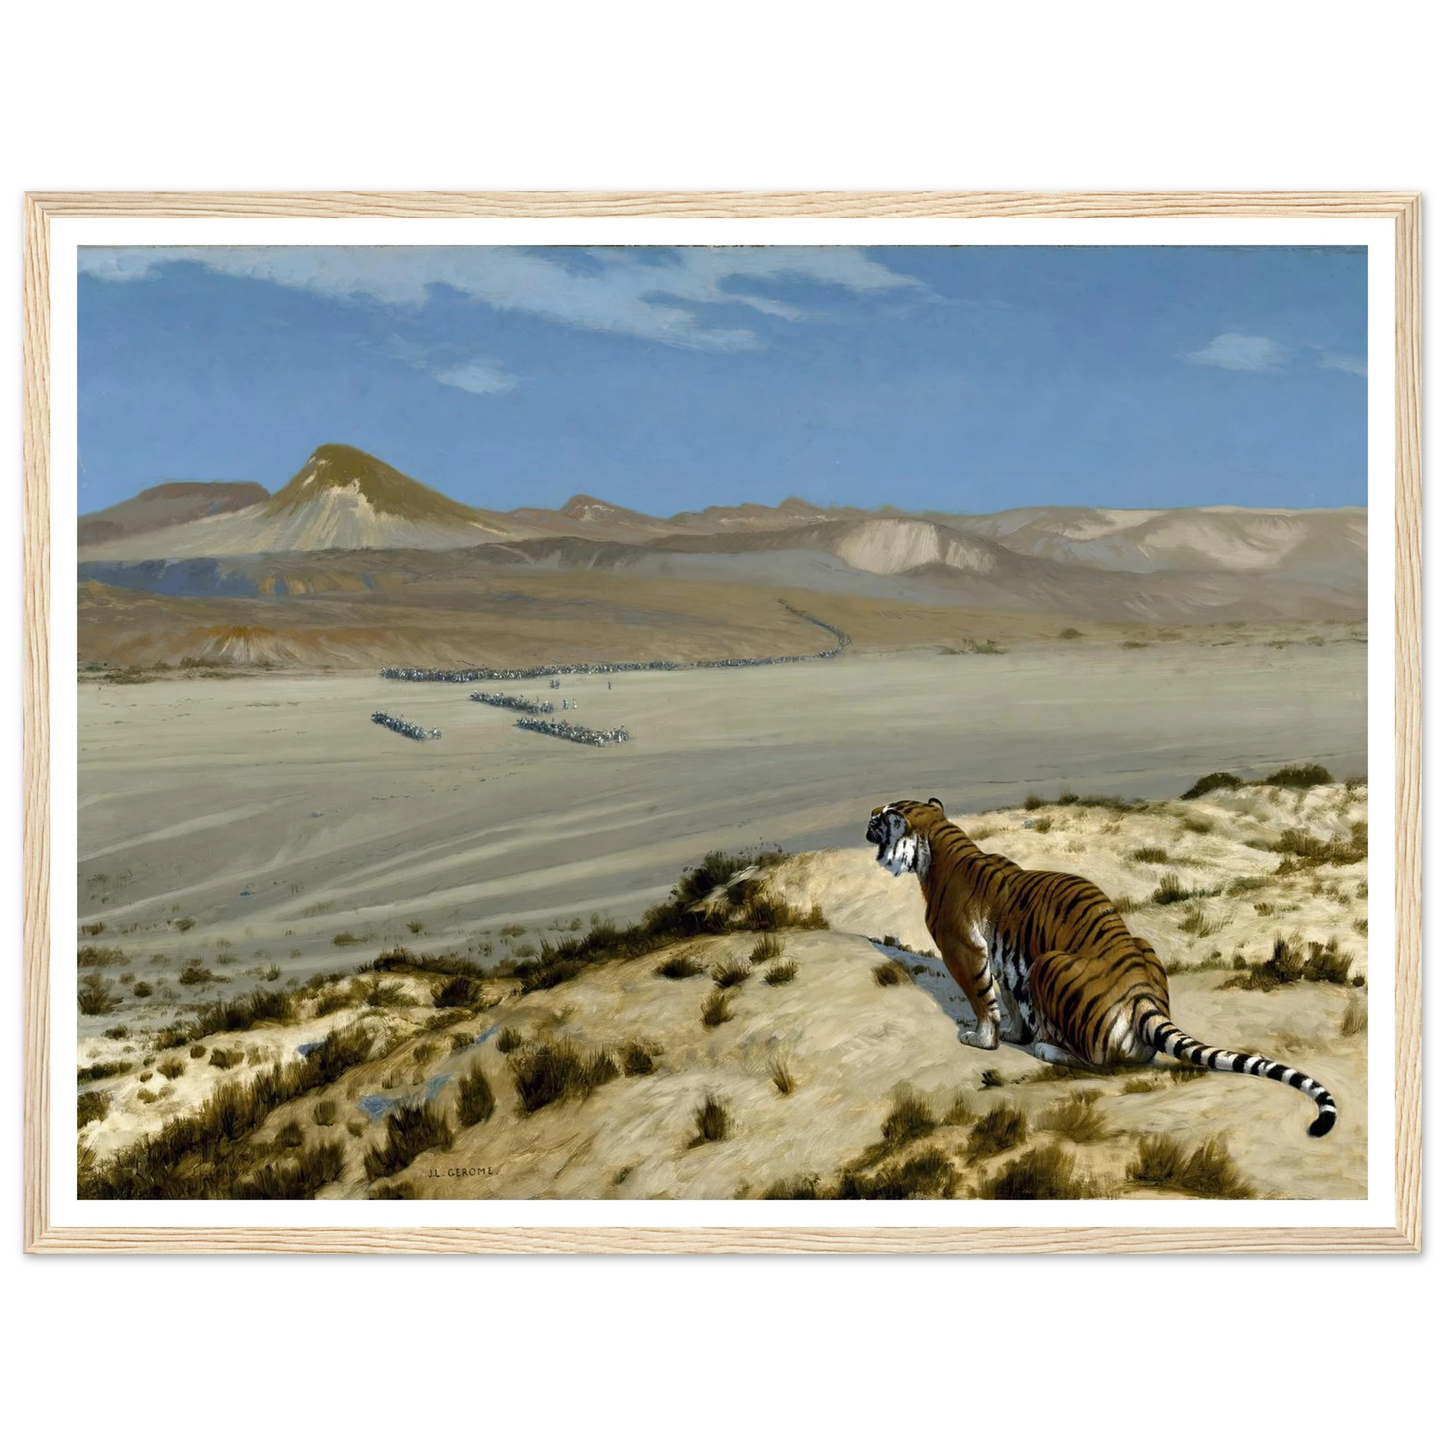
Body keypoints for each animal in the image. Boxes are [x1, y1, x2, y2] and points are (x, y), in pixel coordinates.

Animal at [865, 797, 1338, 1137]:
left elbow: (984, 1000)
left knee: (1097, 1063)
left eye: (882, 816)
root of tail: (1143, 996)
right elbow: (1010, 999)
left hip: (1048, 964)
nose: (866, 821)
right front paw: (1015, 1033)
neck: (938, 845)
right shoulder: (1005, 960)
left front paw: (981, 1040)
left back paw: (1046, 1048)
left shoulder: (963, 950)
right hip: (1130, 949)